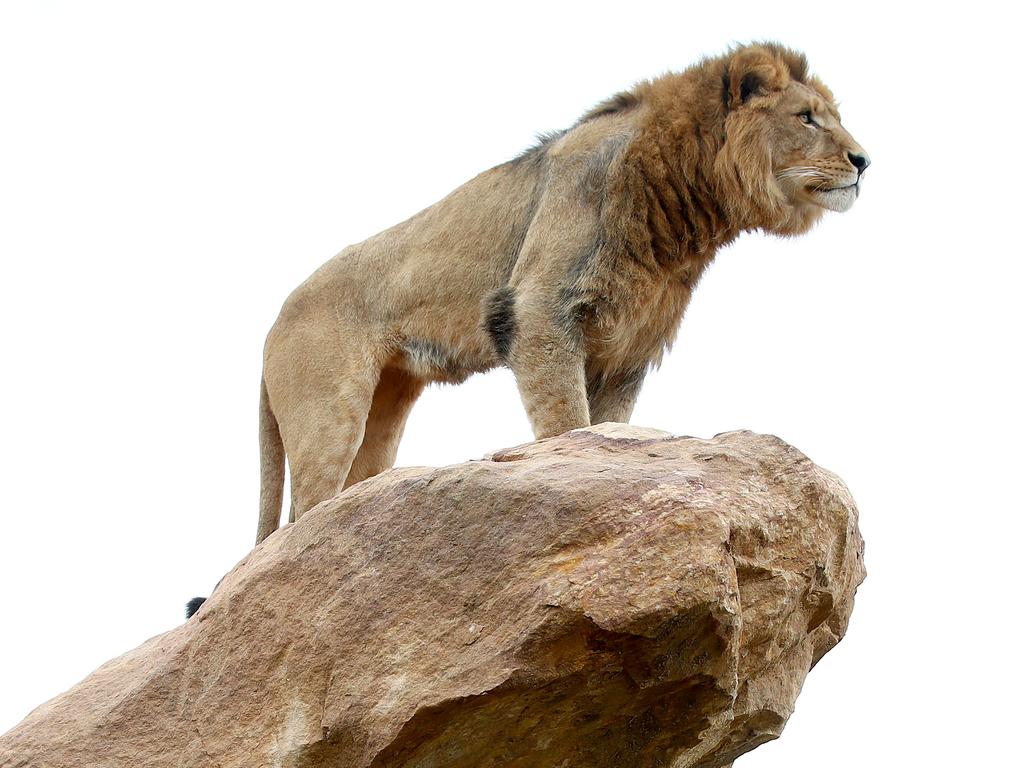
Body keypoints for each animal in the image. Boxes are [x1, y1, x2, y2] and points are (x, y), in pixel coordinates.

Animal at [253, 41, 864, 544]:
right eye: (807, 118)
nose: (864, 160)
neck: (683, 215)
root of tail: (272, 322)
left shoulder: (627, 348)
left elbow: (610, 426)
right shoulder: (539, 309)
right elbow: (568, 423)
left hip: (385, 411)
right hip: (331, 413)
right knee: (298, 517)